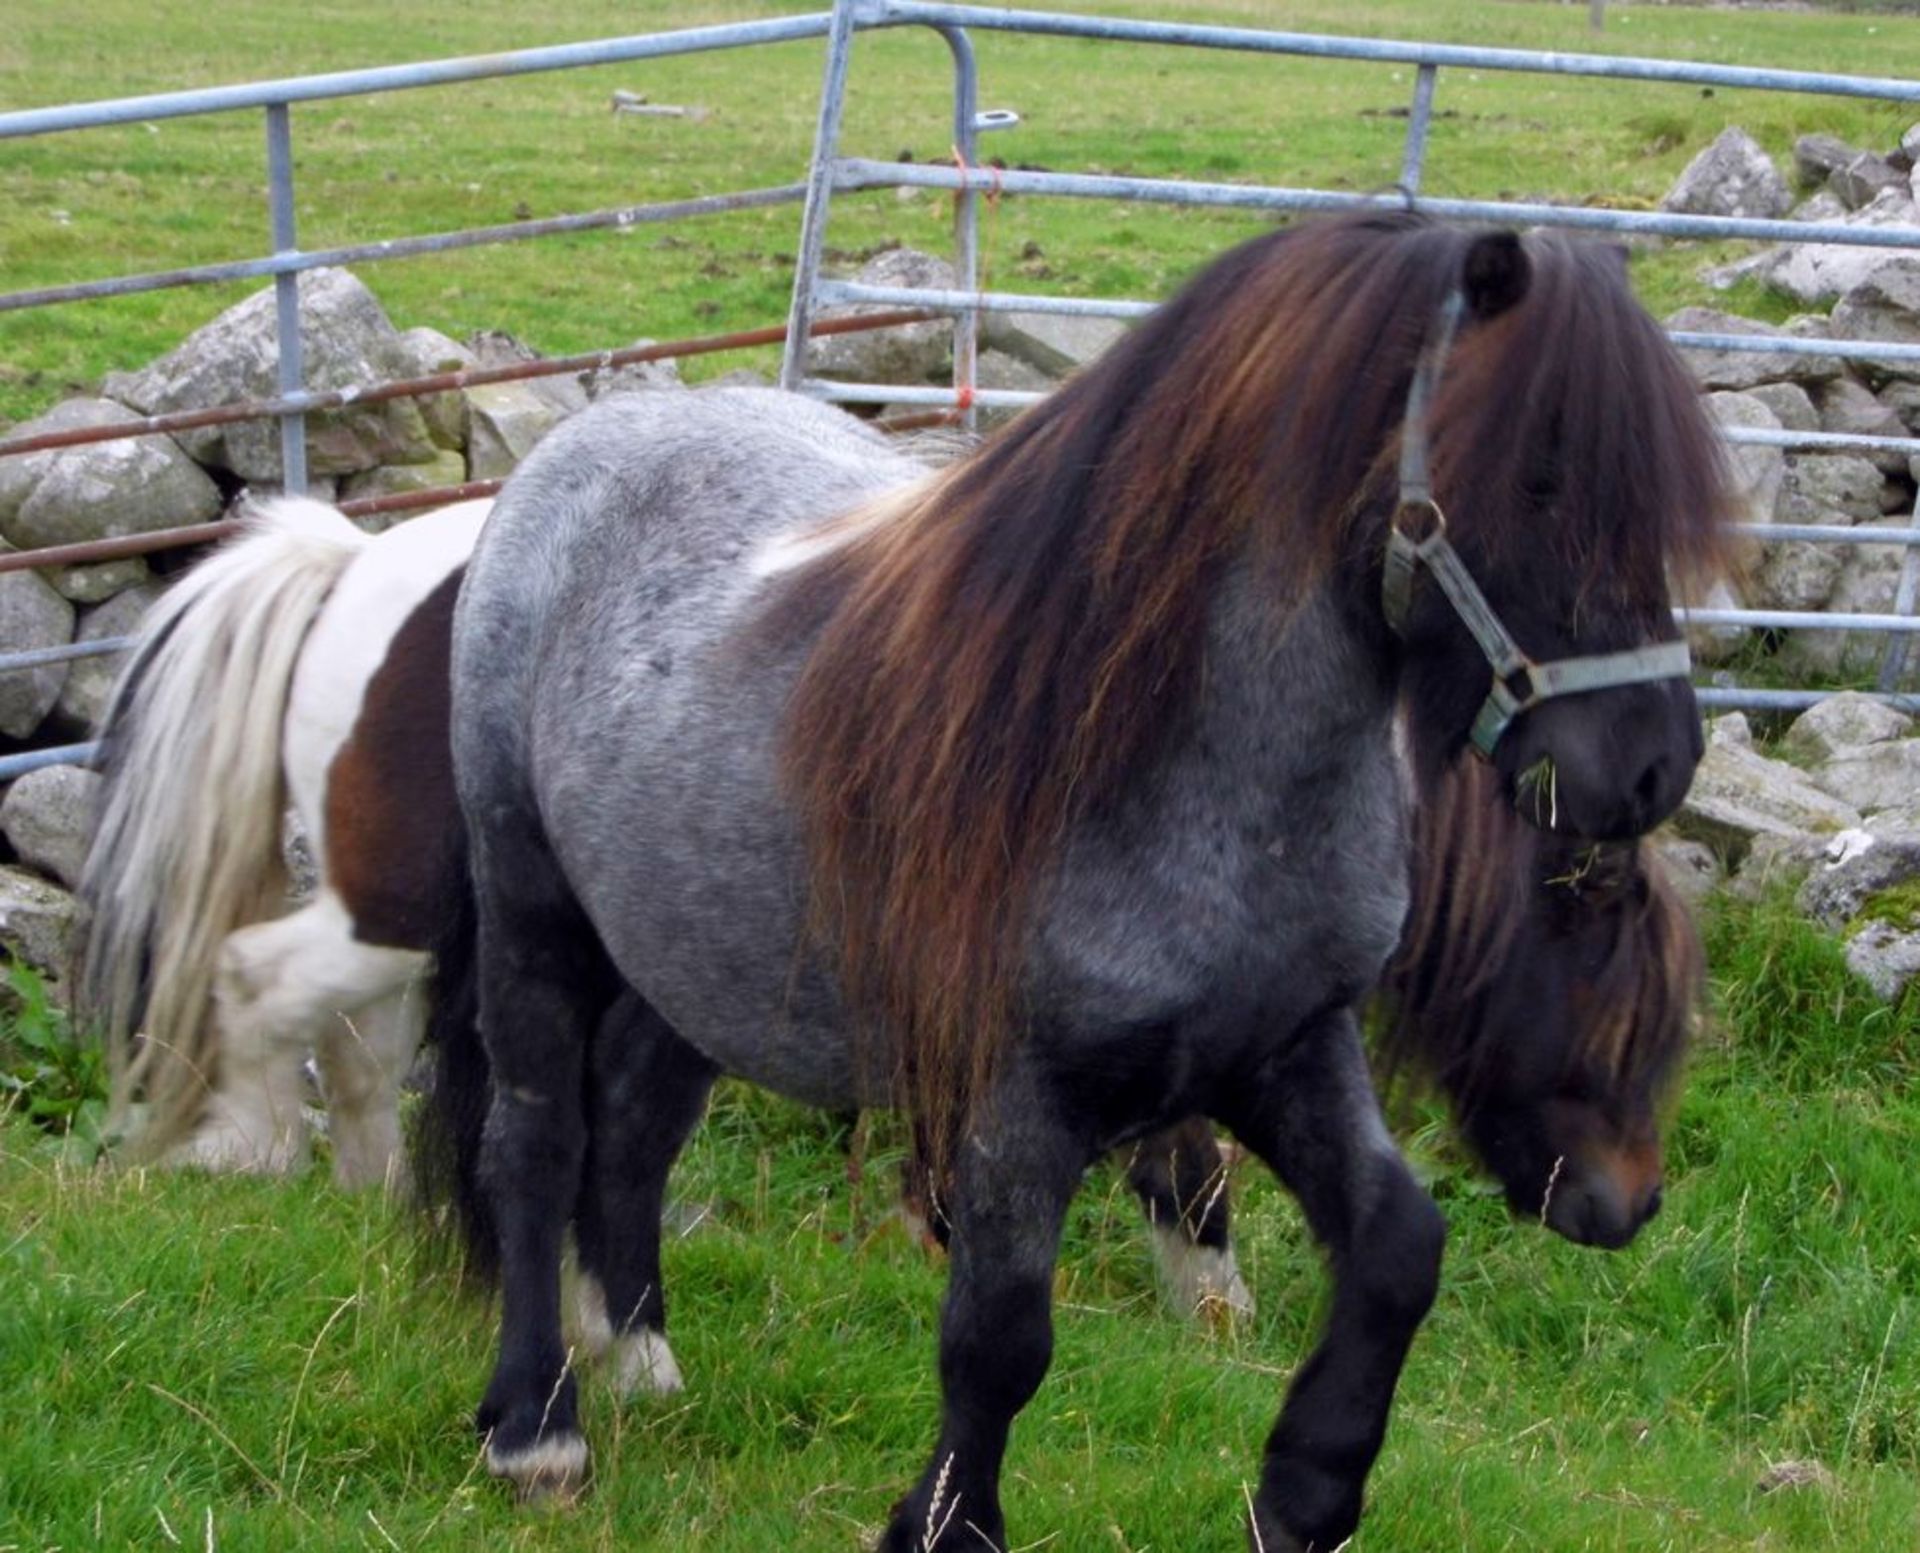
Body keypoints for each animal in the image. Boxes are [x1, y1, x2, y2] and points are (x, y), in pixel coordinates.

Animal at [432, 212, 1728, 1543]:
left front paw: (1304, 1491)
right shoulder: (1021, 1099)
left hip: (691, 953)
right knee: (534, 1136)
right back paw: (539, 1424)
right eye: (1539, 477)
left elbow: (1397, 1244)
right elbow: (999, 1337)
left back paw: (638, 1352)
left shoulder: (1286, 1045)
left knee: (634, 1121)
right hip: (533, 903)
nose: (1652, 763)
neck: (1176, 770)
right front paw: (947, 1522)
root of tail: (590, 439)